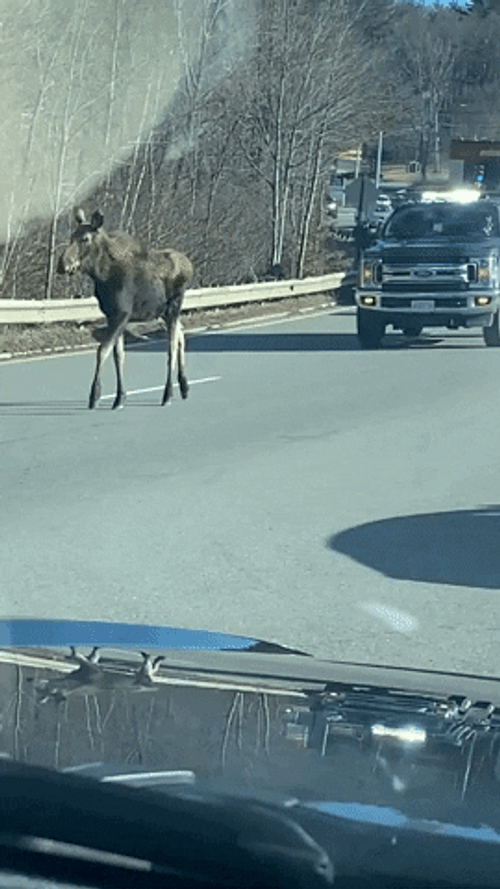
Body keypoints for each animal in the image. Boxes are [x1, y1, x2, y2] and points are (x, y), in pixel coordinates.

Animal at [57, 209, 193, 410]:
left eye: (85, 238)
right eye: (72, 236)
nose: (62, 264)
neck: (102, 275)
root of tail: (190, 265)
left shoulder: (121, 315)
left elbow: (102, 351)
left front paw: (94, 395)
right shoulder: (112, 316)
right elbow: (118, 356)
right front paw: (120, 397)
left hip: (174, 307)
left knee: (171, 347)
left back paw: (168, 394)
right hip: (163, 313)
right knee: (181, 335)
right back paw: (183, 386)